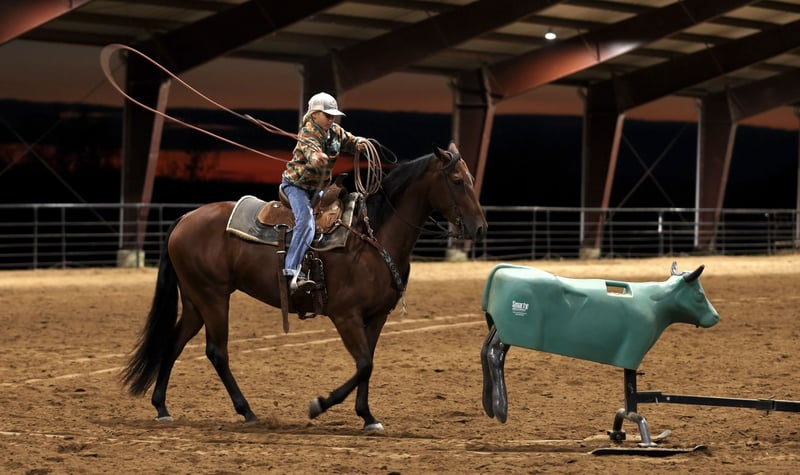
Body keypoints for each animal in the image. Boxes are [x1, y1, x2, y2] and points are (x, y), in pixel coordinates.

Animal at [121, 142, 487, 430]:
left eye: (472, 180)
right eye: (457, 181)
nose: (480, 228)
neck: (372, 238)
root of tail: (185, 219)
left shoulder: (376, 317)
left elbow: (367, 364)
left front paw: (367, 416)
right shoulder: (345, 315)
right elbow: (363, 364)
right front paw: (319, 405)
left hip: (196, 300)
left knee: (173, 344)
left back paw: (162, 407)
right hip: (213, 298)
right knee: (217, 352)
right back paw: (246, 411)